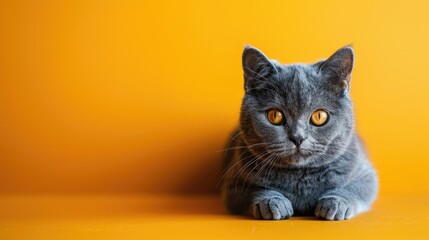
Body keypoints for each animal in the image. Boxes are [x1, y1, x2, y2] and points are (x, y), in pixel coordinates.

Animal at [221, 46, 378, 220]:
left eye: (319, 116)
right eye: (275, 115)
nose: (298, 137)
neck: (300, 177)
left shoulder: (365, 174)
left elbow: (355, 188)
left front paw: (335, 204)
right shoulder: (233, 183)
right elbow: (255, 190)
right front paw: (272, 203)